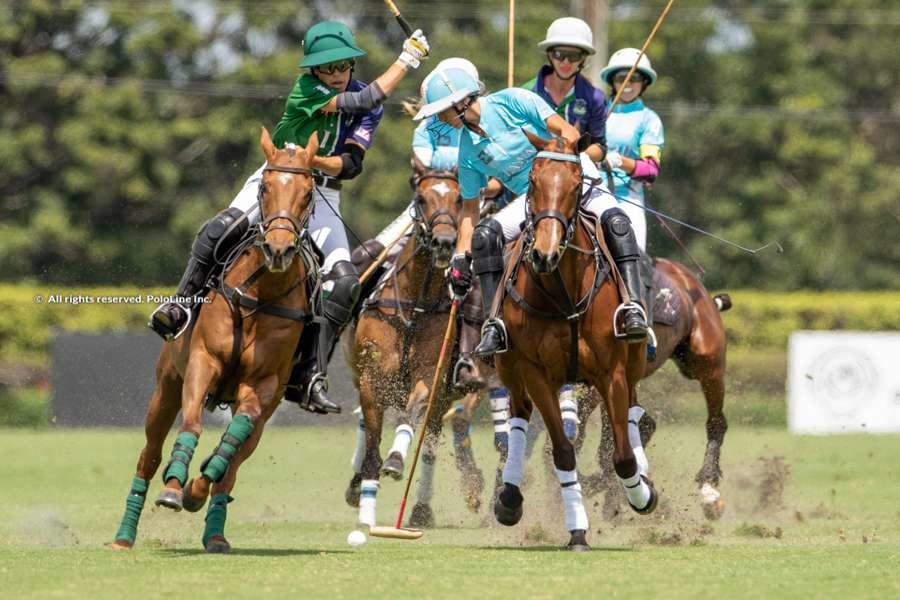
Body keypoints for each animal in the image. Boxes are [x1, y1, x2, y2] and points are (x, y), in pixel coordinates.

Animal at [112, 127, 318, 552]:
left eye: (308, 193)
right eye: (265, 188)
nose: (278, 249)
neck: (260, 293)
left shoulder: (263, 385)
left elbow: (231, 443)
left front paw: (194, 488)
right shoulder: (202, 363)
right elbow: (190, 427)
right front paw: (174, 486)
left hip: (263, 411)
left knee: (235, 460)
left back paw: (214, 529)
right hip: (165, 387)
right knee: (149, 454)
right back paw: (125, 534)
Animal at [342, 161, 482, 528]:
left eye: (459, 198)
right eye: (421, 197)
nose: (445, 242)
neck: (415, 306)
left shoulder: (430, 375)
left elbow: (411, 414)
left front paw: (395, 460)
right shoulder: (371, 378)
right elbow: (371, 445)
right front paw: (366, 504)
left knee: (430, 443)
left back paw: (420, 509)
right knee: (364, 422)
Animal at [488, 134, 656, 552]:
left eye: (577, 182)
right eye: (532, 181)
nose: (544, 254)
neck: (564, 292)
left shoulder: (611, 372)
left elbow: (623, 457)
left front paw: (642, 495)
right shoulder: (536, 373)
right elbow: (563, 453)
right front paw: (577, 530)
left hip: (632, 364)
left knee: (633, 412)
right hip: (509, 368)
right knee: (517, 417)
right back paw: (509, 495)